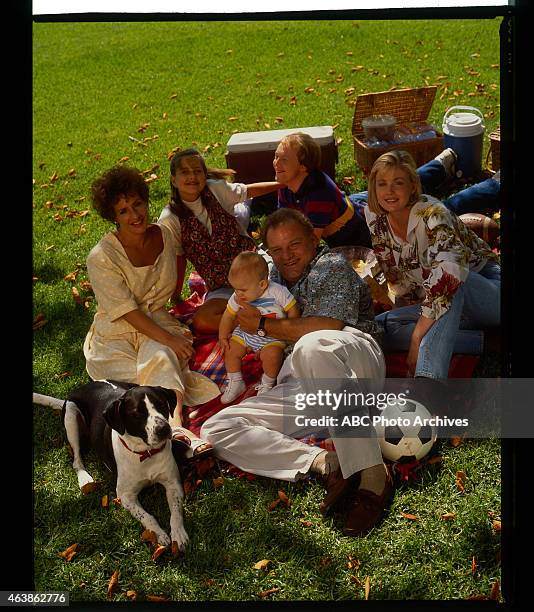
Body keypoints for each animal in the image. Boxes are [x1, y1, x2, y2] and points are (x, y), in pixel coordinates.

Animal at [33, 380, 188, 552]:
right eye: (137, 414)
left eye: (161, 404)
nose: (164, 428)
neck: (146, 454)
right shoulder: (125, 495)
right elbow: (147, 517)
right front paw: (159, 533)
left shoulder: (173, 483)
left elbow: (176, 512)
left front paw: (178, 534)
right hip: (71, 416)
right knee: (76, 459)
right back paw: (85, 479)